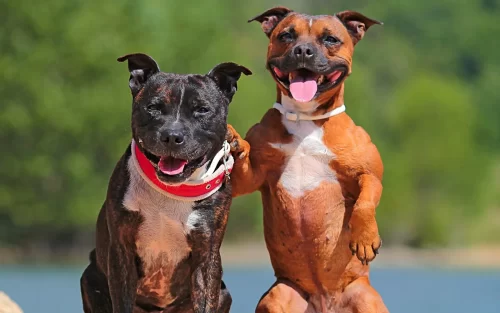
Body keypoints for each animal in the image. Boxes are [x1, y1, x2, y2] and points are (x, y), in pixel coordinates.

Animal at [80, 53, 252, 312]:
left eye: (202, 110)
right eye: (153, 108)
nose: (172, 135)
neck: (170, 191)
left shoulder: (207, 258)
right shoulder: (121, 253)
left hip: (223, 293)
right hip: (90, 281)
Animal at [229, 6, 388, 310]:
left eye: (330, 39)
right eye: (286, 35)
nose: (303, 50)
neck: (305, 118)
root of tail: (324, 302)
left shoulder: (370, 174)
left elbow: (365, 201)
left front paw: (365, 237)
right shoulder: (254, 176)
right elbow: (245, 166)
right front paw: (235, 142)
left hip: (366, 299)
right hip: (278, 295)